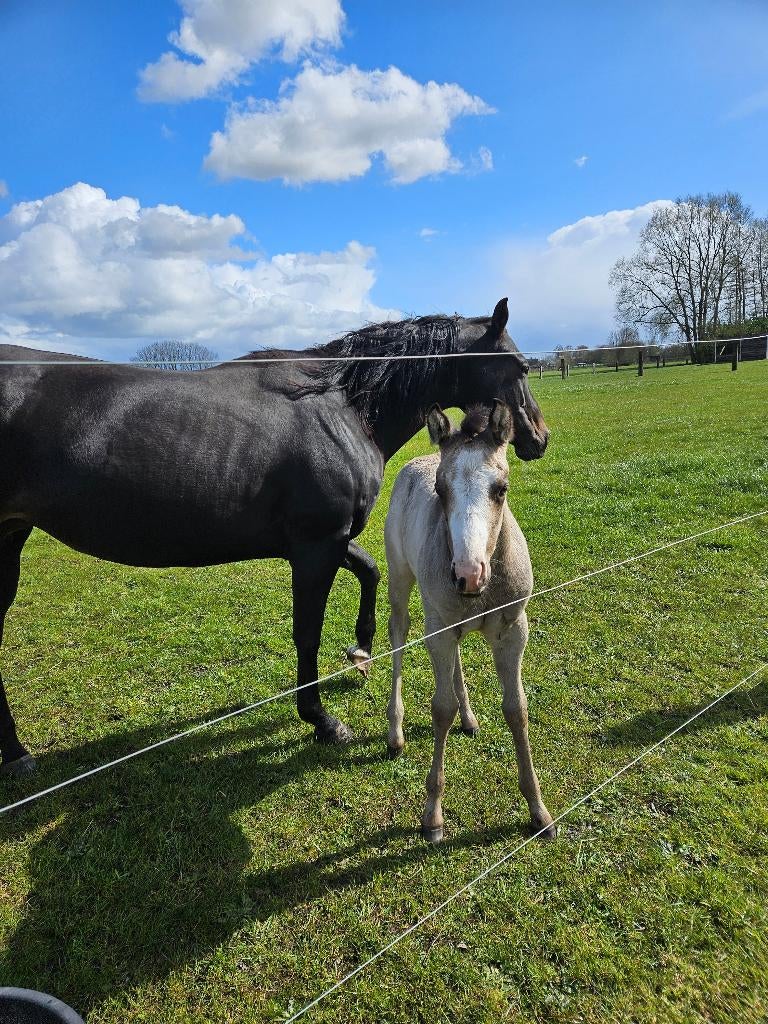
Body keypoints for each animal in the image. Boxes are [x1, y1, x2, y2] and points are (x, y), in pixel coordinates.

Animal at [0, 297, 549, 776]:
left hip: (11, 535)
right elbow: (307, 632)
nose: (539, 439)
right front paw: (321, 720)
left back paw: (15, 753)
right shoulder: (315, 547)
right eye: (522, 367)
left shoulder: (327, 542)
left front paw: (360, 649)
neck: (341, 405)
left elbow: (369, 570)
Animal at [384, 400, 556, 843]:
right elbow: (439, 708)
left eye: (502, 489)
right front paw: (432, 816)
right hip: (402, 584)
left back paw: (469, 718)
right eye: (440, 491)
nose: (468, 575)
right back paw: (396, 733)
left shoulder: (514, 631)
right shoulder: (438, 631)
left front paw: (539, 810)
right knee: (398, 635)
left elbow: (517, 709)